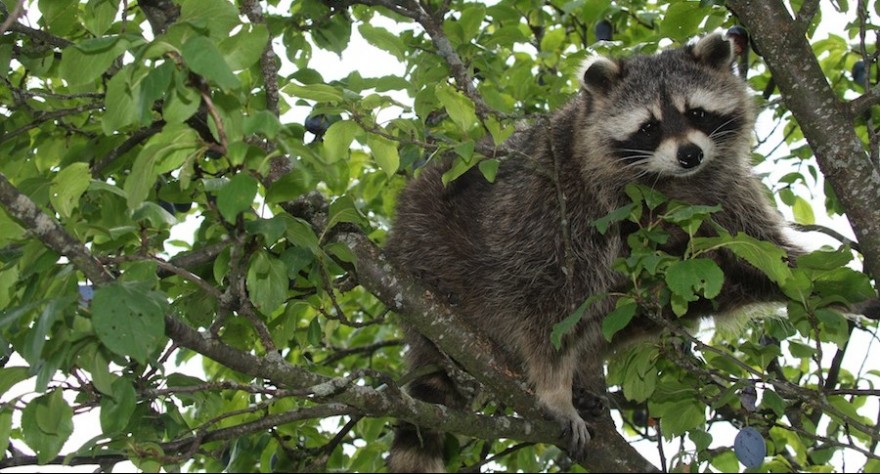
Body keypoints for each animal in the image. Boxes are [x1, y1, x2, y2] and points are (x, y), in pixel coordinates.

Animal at [384, 32, 804, 470]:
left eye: (698, 113)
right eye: (649, 127)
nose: (690, 155)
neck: (665, 181)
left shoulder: (723, 194)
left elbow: (761, 253)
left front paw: (815, 278)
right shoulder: (557, 199)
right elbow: (544, 297)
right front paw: (554, 390)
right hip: (434, 242)